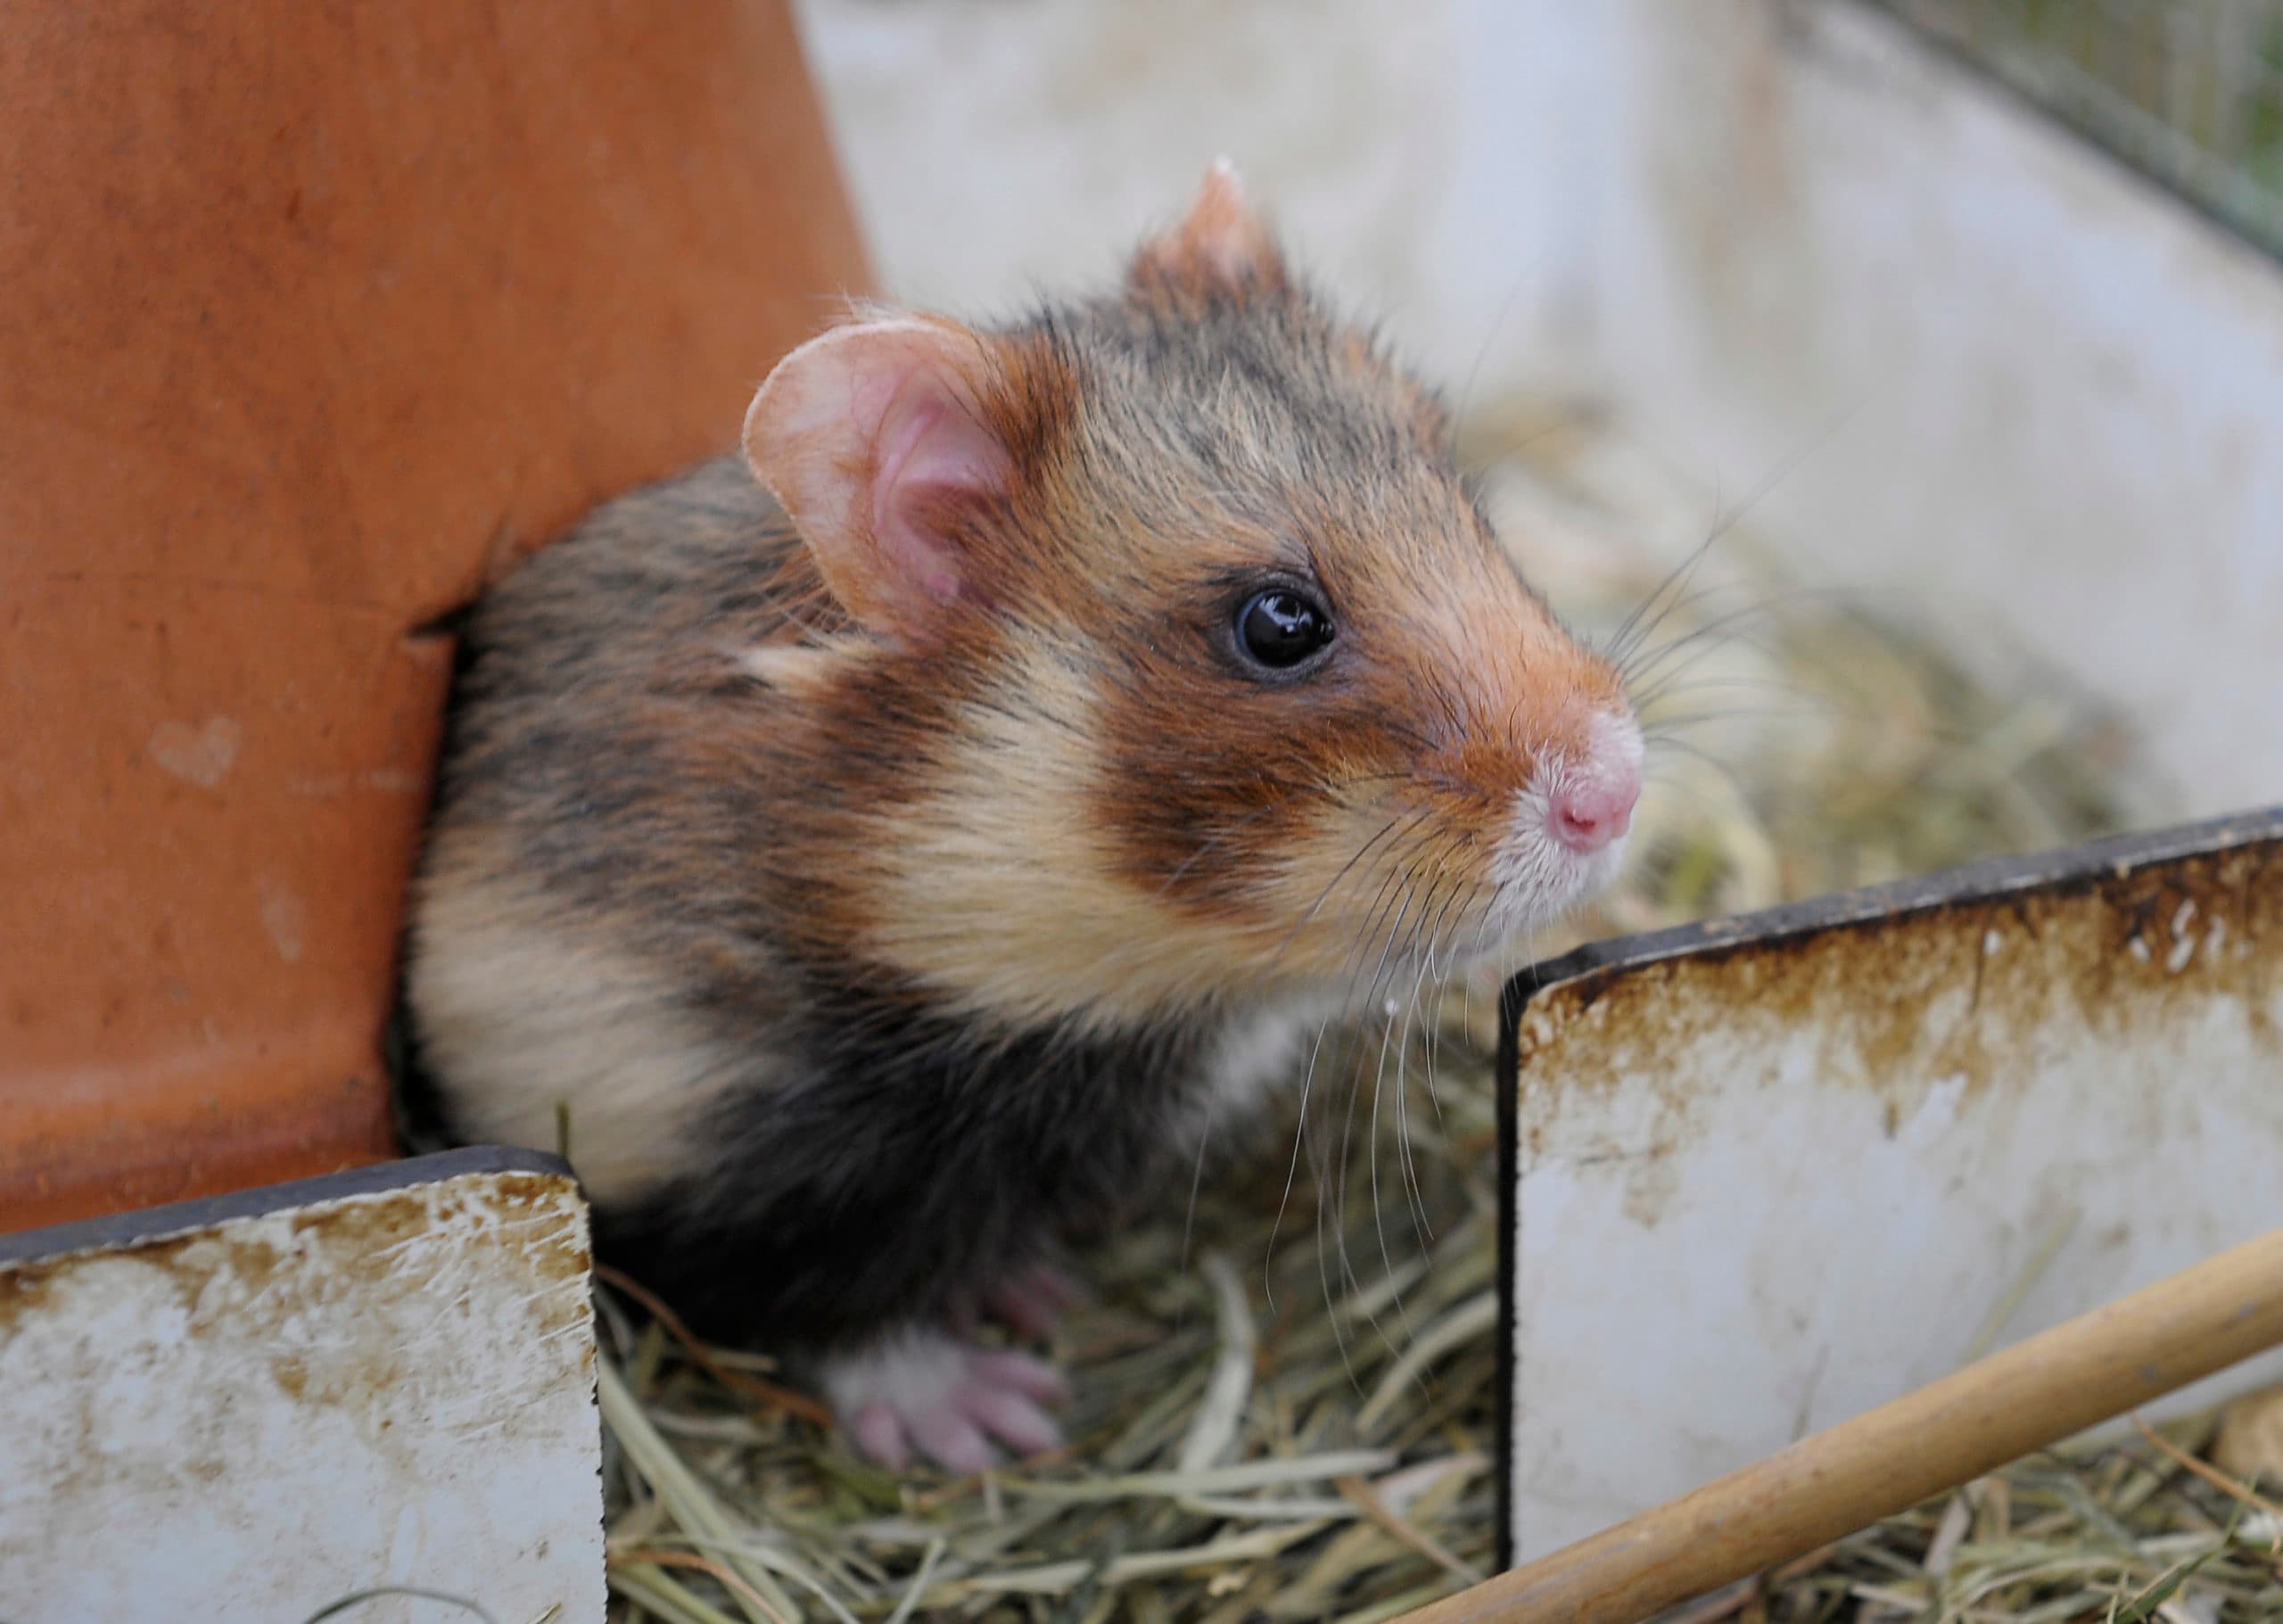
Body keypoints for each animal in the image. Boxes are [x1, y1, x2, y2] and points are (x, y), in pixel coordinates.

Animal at [404, 163, 1642, 1474]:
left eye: (1460, 489)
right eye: (1279, 625)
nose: (1619, 790)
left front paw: (1036, 1293)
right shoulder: (690, 1127)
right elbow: (828, 1303)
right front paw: (995, 1420)